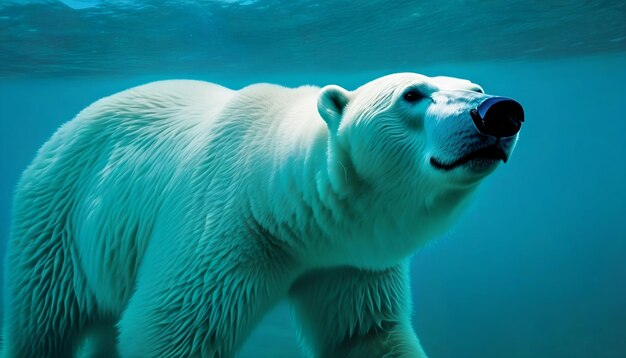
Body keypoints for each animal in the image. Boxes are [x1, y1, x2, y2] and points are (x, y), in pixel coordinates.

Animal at [3, 73, 520, 358]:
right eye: (412, 94)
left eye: (476, 86)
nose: (500, 110)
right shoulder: (224, 230)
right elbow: (168, 329)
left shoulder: (349, 260)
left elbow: (365, 334)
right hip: (58, 223)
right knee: (44, 325)